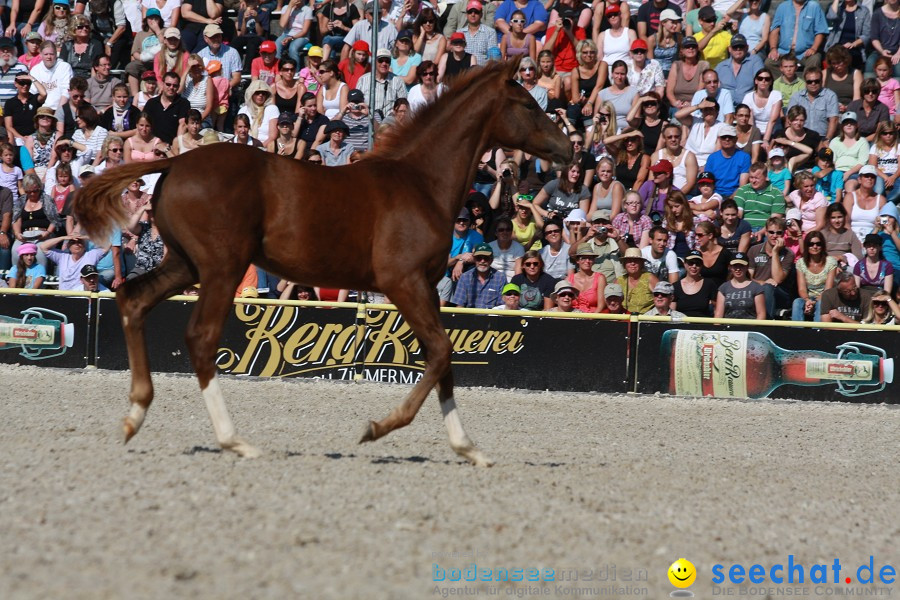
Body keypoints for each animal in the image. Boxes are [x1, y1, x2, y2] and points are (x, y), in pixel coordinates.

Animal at [75, 58, 568, 466]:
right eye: (527, 104)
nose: (569, 148)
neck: (420, 182)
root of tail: (174, 164)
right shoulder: (404, 281)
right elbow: (442, 351)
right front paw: (378, 428)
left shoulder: (427, 286)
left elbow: (442, 359)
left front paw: (468, 448)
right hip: (220, 268)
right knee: (200, 337)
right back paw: (235, 440)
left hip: (186, 265)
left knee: (133, 299)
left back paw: (136, 414)